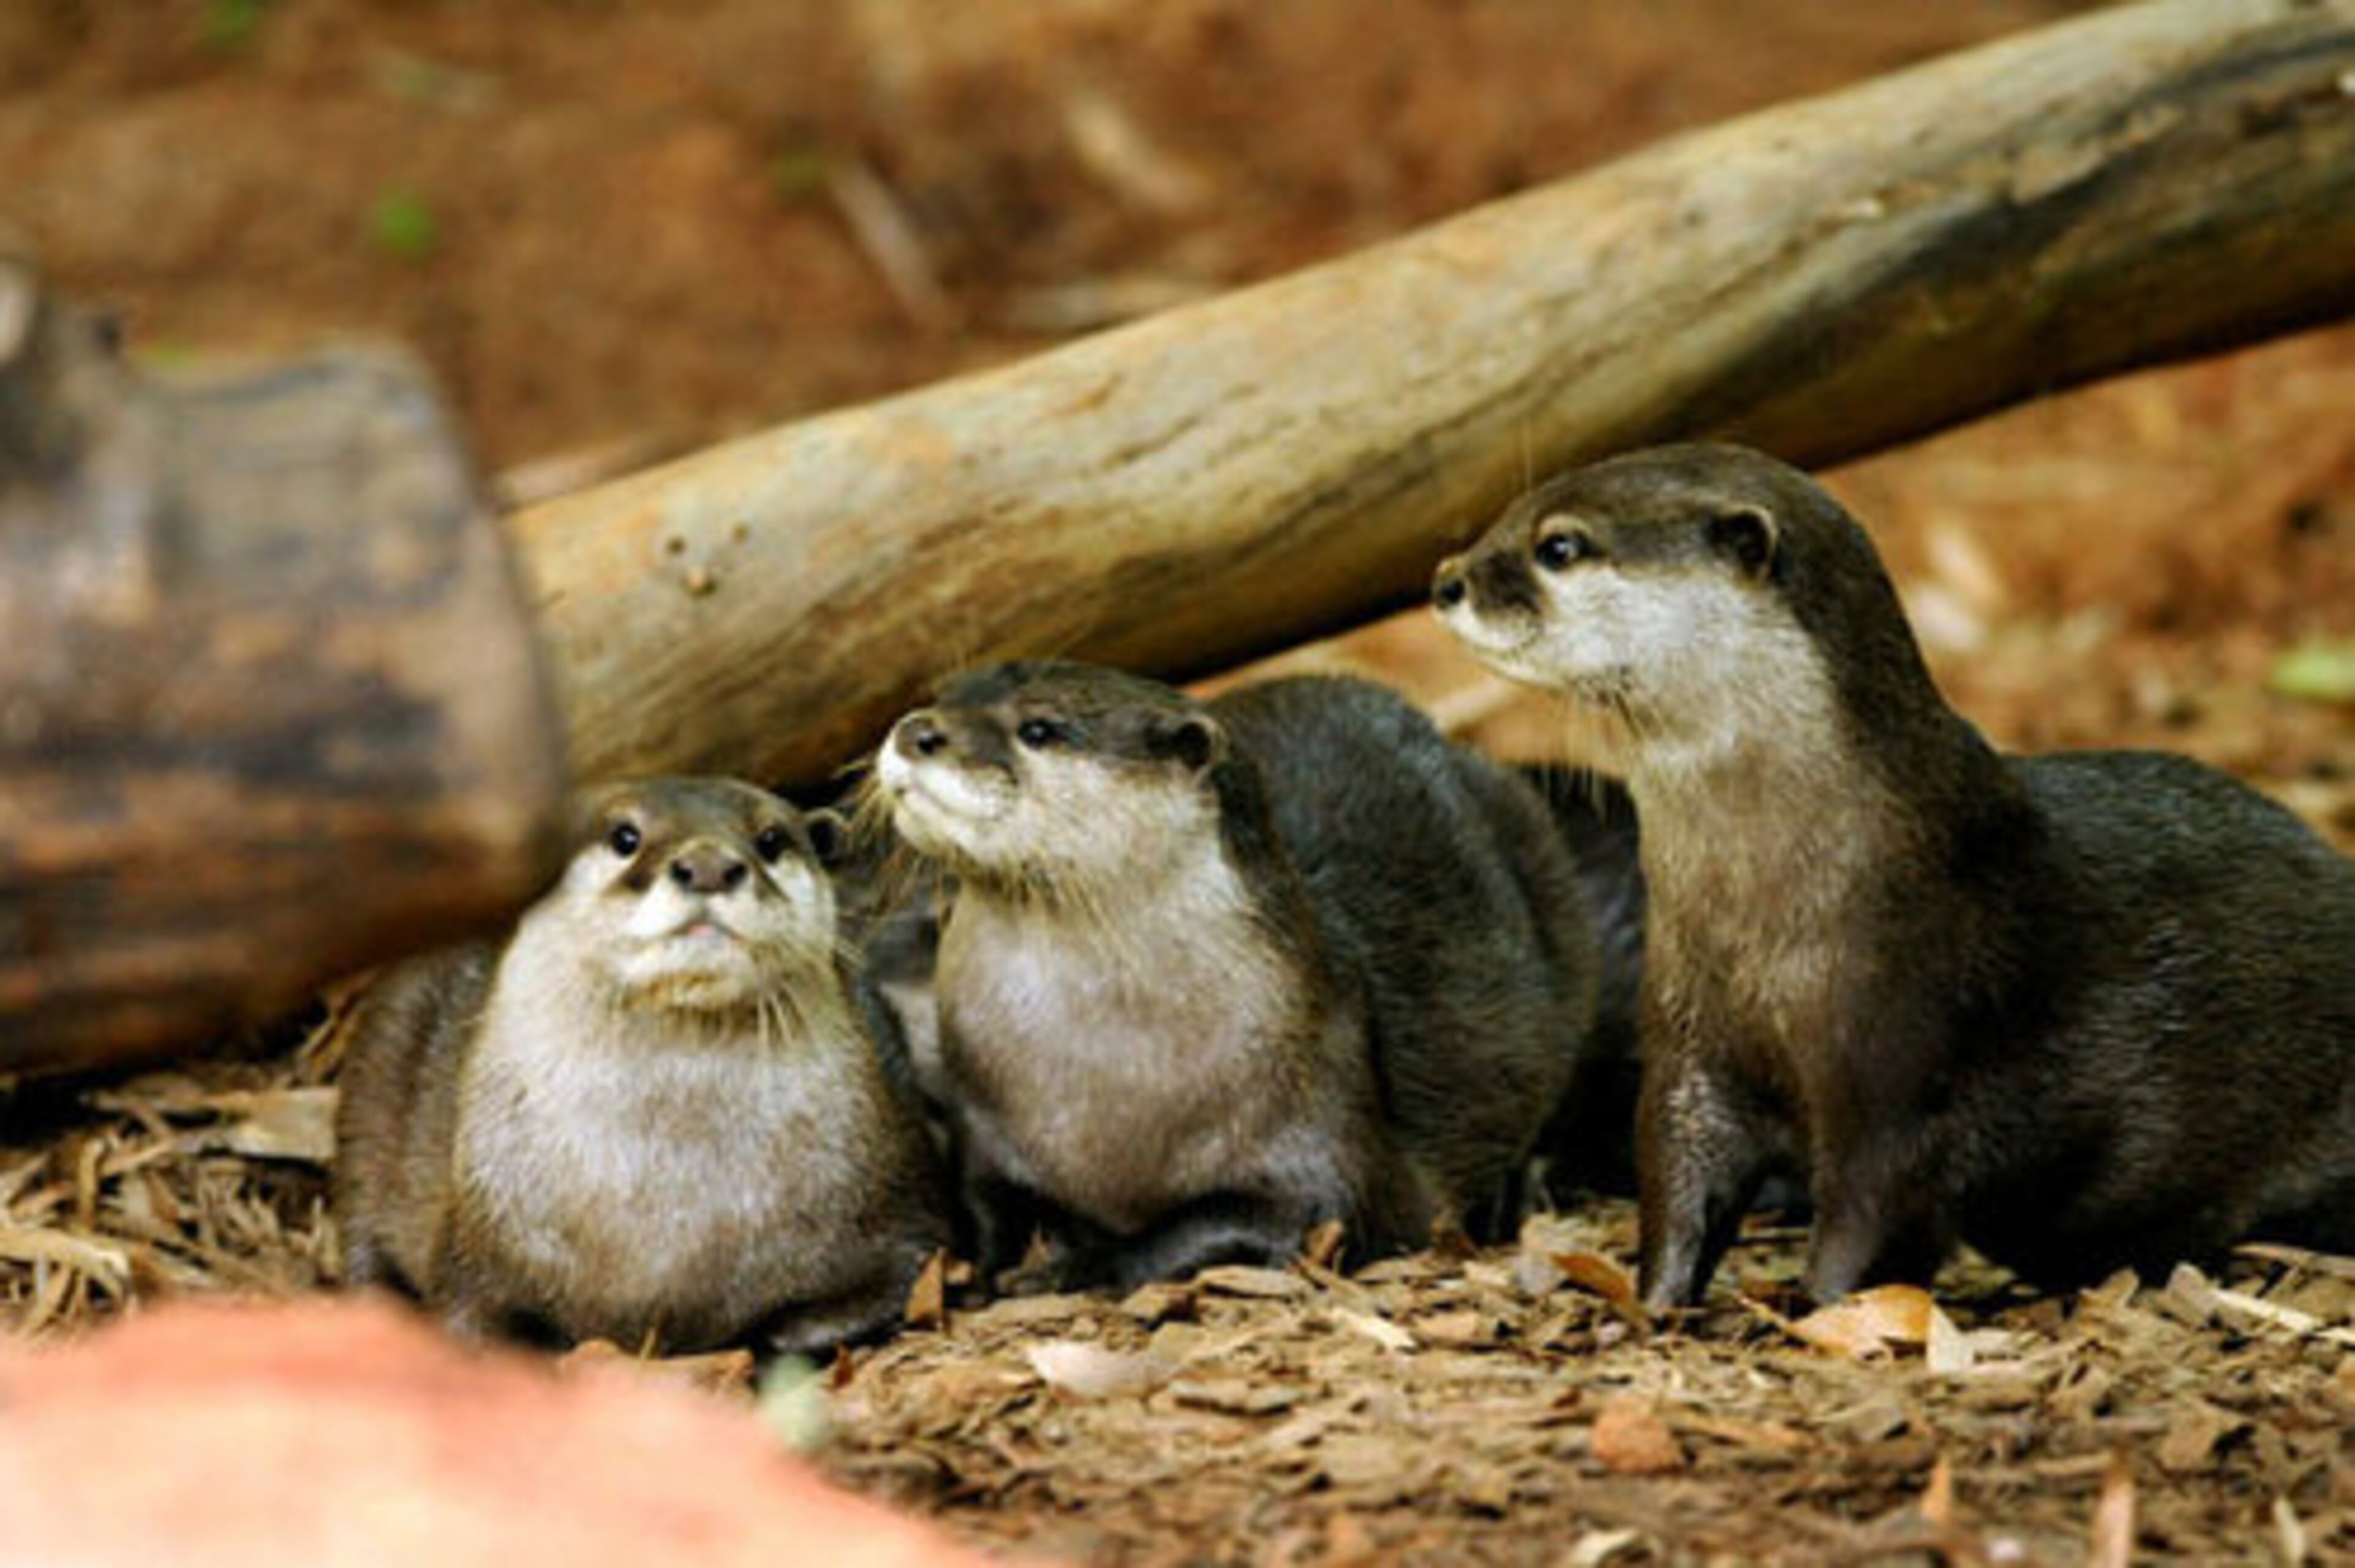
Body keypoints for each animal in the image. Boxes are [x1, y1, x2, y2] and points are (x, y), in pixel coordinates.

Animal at [333, 776, 950, 1355]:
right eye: (624, 837)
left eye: (772, 840)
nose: (709, 865)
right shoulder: (478, 1240)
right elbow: (469, 1321)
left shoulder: (897, 1212)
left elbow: (892, 1282)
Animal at [870, 662, 1609, 1293]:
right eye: (941, 695)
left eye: (1040, 729)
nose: (917, 730)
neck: (1095, 1086)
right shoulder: (986, 1128)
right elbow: (983, 1200)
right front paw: (977, 1270)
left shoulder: (1322, 1122)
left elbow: (1254, 1218)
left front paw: (1080, 1266)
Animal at [1433, 442, 2355, 1308]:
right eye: (1507, 514)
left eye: (1559, 545)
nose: (1448, 581)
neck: (1780, 908)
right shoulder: (1694, 1036)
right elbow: (1679, 1169)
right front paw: (1656, 1299)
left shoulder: (1907, 1059)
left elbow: (1876, 1208)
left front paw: (1811, 1309)